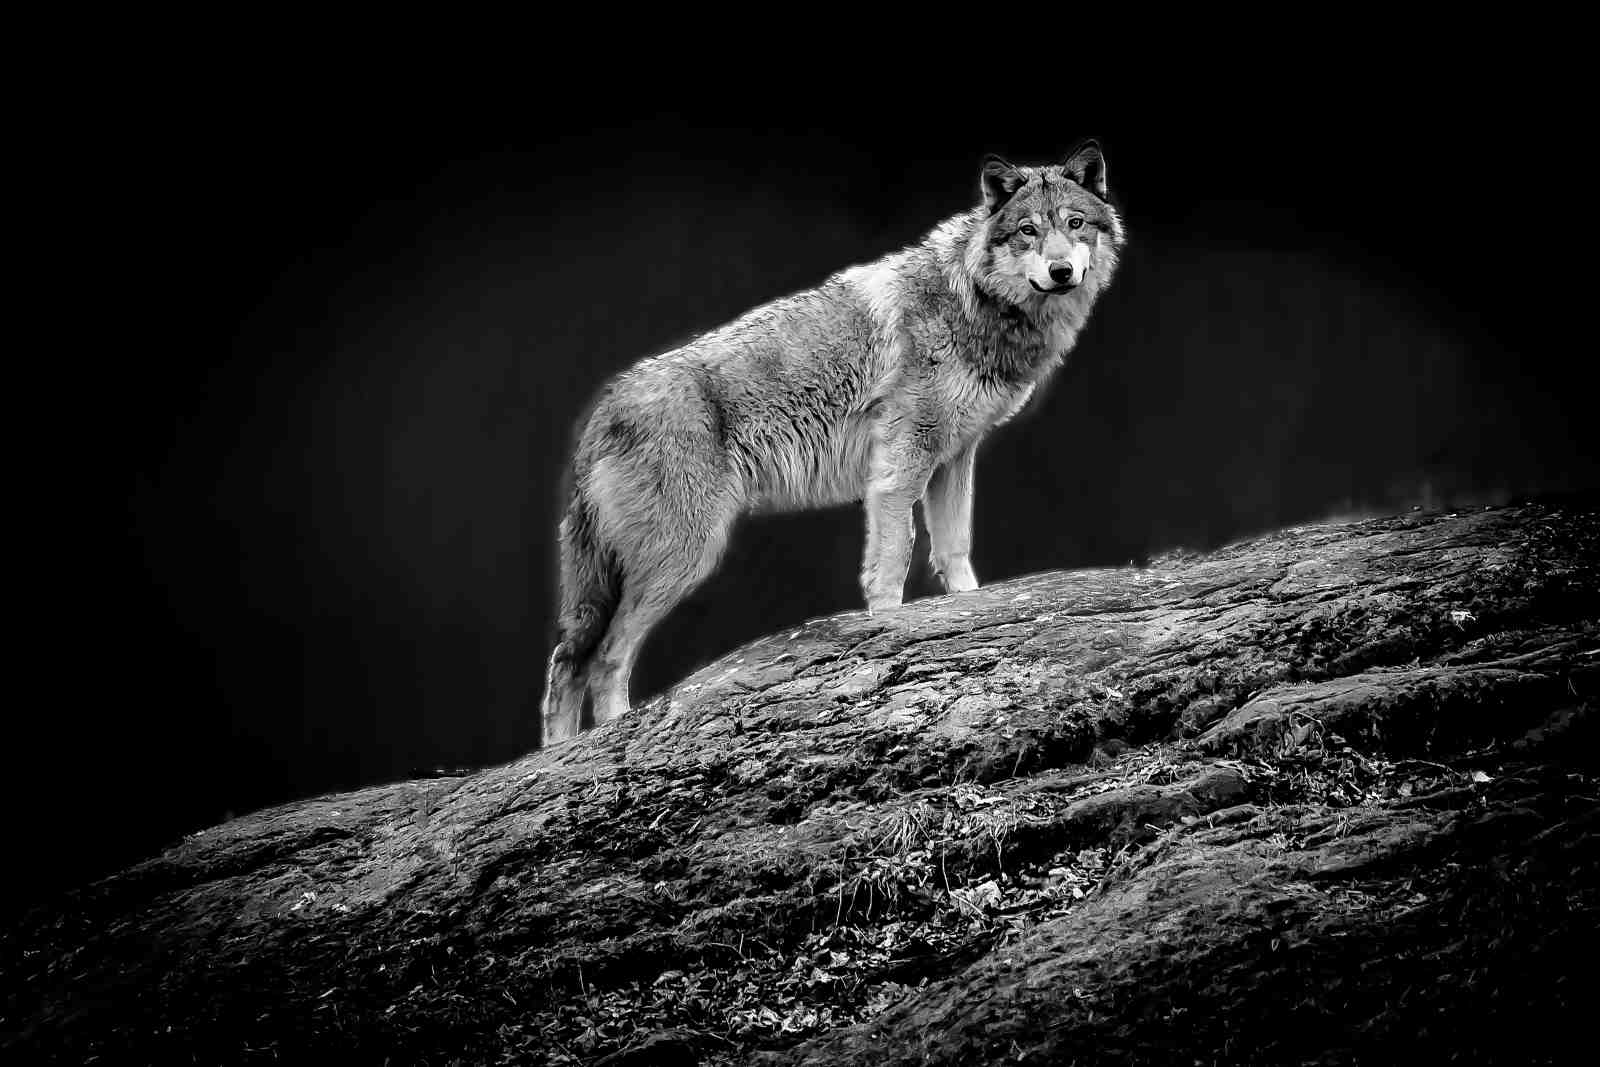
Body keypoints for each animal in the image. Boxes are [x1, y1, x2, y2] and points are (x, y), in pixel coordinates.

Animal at [541, 141, 1125, 744]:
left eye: (1075, 224)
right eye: (1029, 230)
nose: (1061, 270)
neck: (973, 300)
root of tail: (603, 408)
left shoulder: (954, 458)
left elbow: (955, 550)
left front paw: (968, 609)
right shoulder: (900, 466)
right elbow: (892, 561)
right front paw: (889, 629)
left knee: (567, 660)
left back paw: (560, 754)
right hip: (685, 556)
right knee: (602, 658)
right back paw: (605, 740)